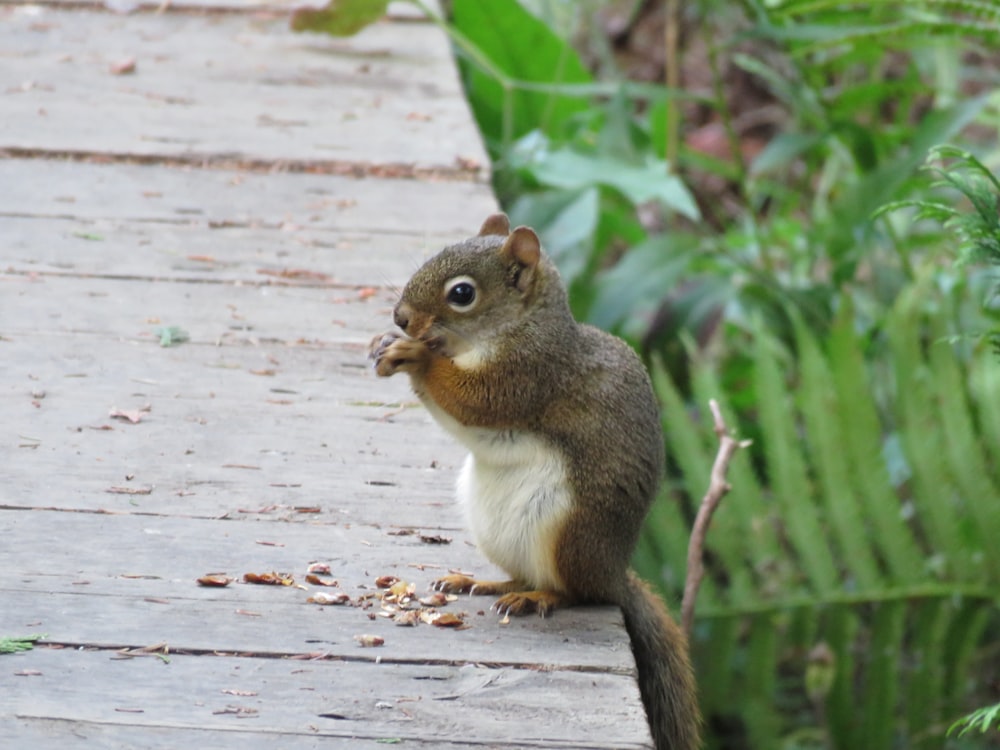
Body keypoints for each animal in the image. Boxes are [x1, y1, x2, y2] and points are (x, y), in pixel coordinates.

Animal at [370, 213, 704, 750]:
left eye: (461, 293)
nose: (400, 319)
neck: (516, 328)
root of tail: (614, 573)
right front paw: (388, 346)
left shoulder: (529, 374)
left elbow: (476, 400)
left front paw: (416, 356)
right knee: (523, 573)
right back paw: (483, 582)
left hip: (569, 530)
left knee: (576, 592)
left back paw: (540, 597)